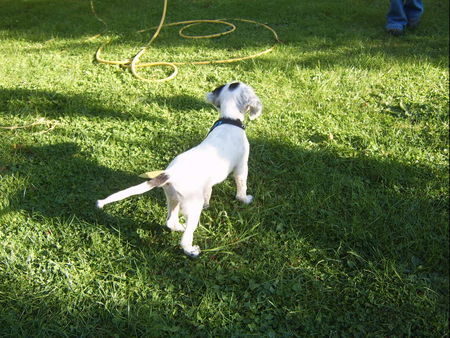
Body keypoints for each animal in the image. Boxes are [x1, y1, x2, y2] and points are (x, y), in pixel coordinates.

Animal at [96, 82, 262, 256]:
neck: (229, 120)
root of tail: (170, 173)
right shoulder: (242, 167)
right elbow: (241, 187)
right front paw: (245, 199)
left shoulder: (206, 184)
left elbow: (208, 192)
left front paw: (208, 204)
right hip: (193, 206)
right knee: (185, 236)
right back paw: (191, 250)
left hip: (173, 198)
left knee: (170, 221)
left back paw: (179, 227)